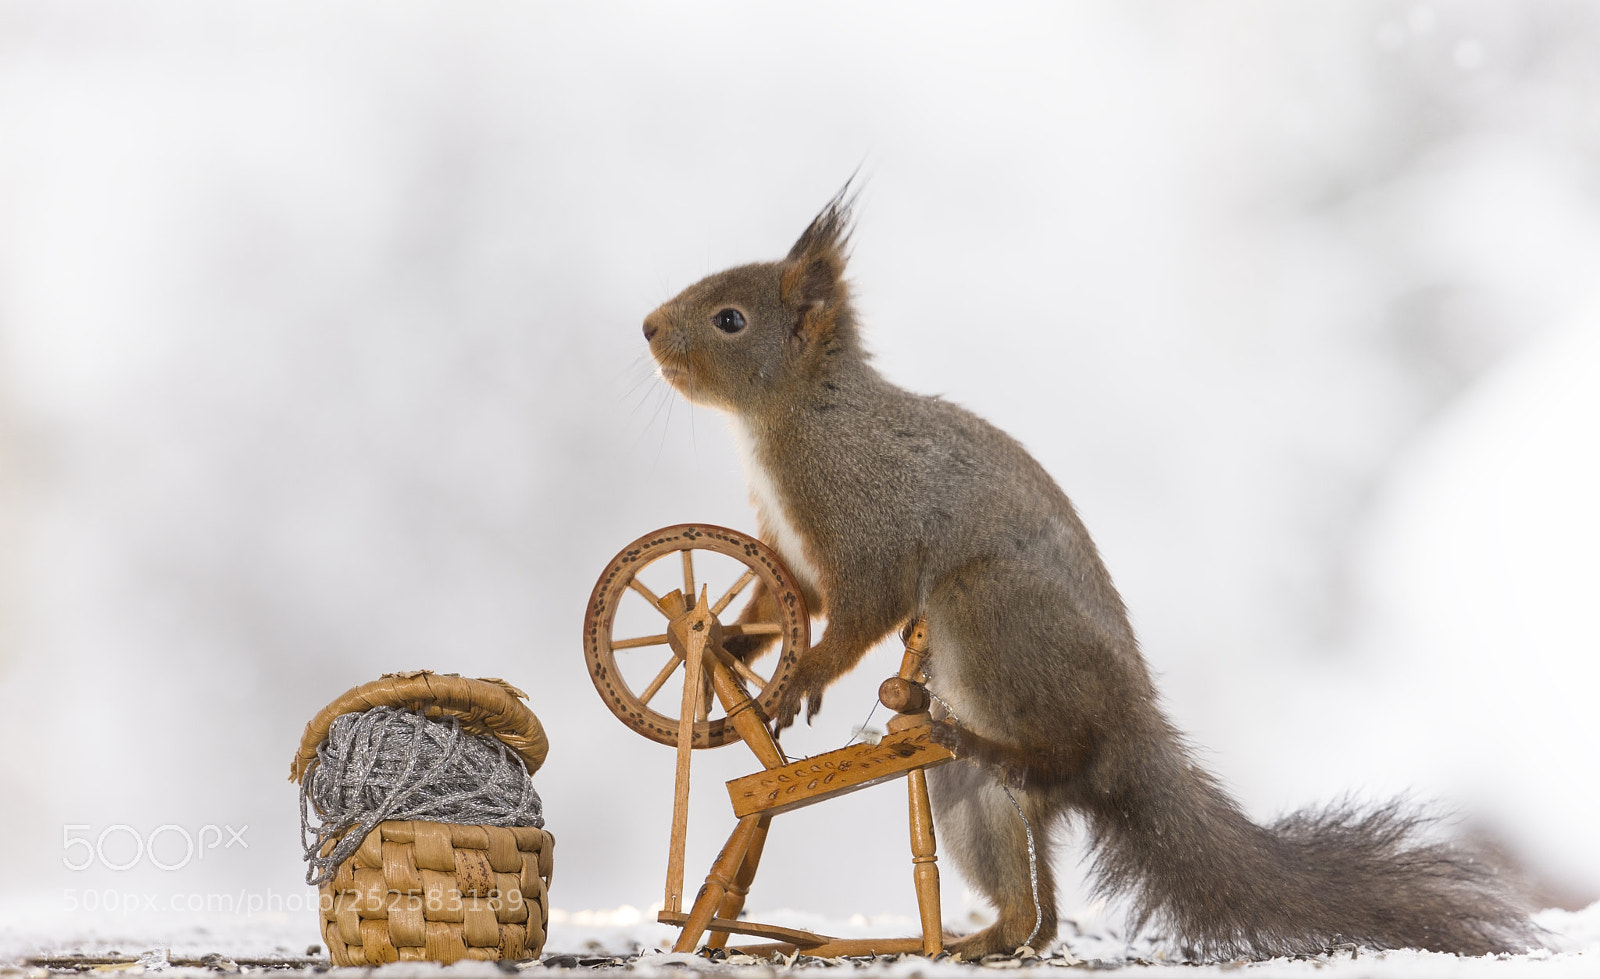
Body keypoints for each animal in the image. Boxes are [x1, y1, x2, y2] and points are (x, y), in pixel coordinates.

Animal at [640, 184, 1538, 961]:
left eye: (729, 319)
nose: (648, 326)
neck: (794, 415)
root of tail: (1130, 729)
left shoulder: (868, 520)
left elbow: (863, 605)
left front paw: (801, 680)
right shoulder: (784, 550)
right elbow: (775, 602)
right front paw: (726, 641)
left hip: (988, 609)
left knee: (1063, 758)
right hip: (969, 795)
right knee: (1033, 912)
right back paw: (972, 928)